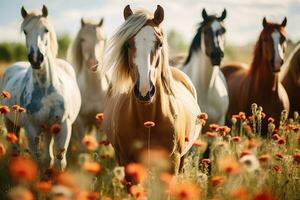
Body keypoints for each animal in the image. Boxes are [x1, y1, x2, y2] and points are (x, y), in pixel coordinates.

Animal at [1, 5, 81, 170]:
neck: (45, 89)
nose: (36, 58)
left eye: (46, 30)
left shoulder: (63, 127)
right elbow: (36, 160)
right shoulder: (31, 130)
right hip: (11, 123)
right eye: (25, 31)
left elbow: (59, 162)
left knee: (48, 157)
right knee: (16, 150)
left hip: (49, 129)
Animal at [67, 17, 108, 148]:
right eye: (82, 39)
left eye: (102, 39)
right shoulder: (80, 123)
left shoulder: (100, 123)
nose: (93, 63)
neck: (93, 91)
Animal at [102, 5, 203, 173]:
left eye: (160, 44)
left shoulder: (173, 163)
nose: (144, 91)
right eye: (127, 44)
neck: (147, 120)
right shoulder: (127, 162)